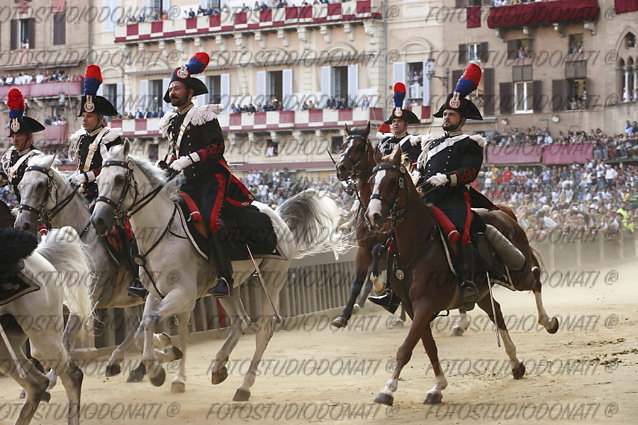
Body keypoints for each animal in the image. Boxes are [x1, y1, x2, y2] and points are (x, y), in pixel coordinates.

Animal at [14, 155, 154, 378]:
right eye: (20, 186)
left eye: (41, 184)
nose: (22, 224)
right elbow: (41, 346)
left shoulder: (87, 299)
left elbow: (65, 340)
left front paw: (52, 378)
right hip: (129, 299)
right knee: (136, 327)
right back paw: (127, 364)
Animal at [91, 141, 344, 400]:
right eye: (98, 179)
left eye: (120, 179)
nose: (98, 220)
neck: (161, 230)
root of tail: (277, 216)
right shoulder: (155, 293)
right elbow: (143, 330)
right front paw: (165, 353)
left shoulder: (184, 295)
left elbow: (151, 323)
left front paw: (157, 369)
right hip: (228, 286)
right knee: (240, 320)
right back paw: (218, 366)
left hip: (272, 278)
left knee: (264, 328)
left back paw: (244, 386)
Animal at [364, 147, 560, 406]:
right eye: (371, 182)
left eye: (393, 181)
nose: (373, 216)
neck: (417, 245)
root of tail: (506, 213)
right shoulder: (412, 307)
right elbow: (429, 347)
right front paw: (437, 387)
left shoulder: (425, 305)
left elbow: (405, 349)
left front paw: (388, 390)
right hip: (480, 292)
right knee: (497, 312)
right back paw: (515, 363)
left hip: (518, 276)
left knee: (535, 279)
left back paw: (548, 322)